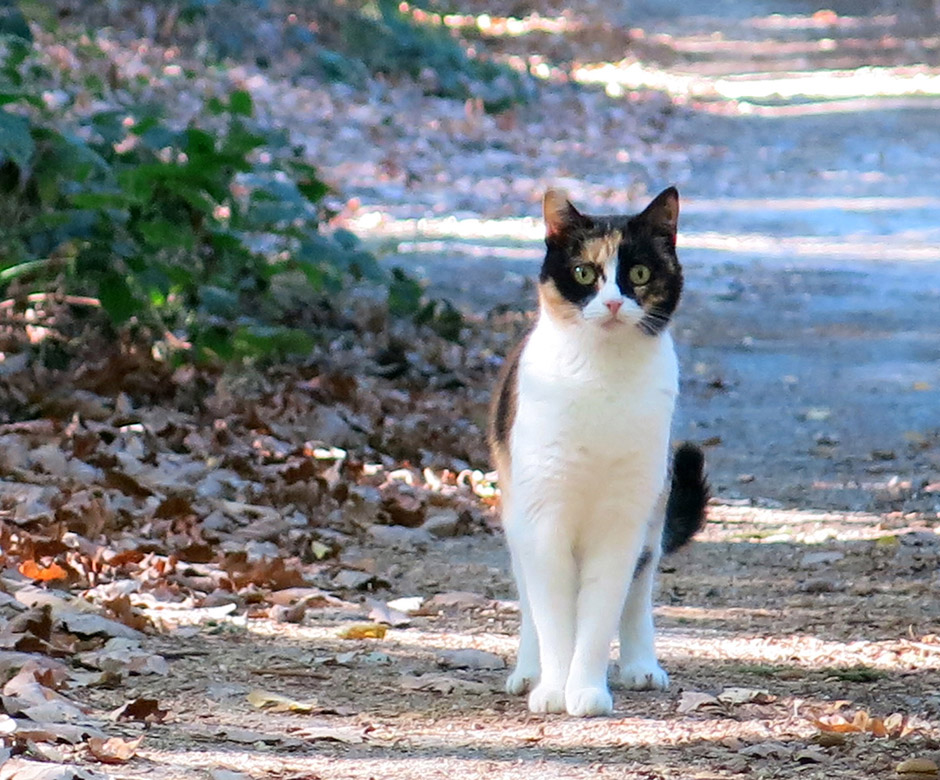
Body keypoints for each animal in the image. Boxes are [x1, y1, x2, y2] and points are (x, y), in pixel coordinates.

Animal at [492, 186, 704, 716]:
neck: (600, 379)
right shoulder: (544, 516)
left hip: (652, 512)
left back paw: (641, 666)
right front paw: (552, 689)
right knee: (530, 600)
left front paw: (586, 691)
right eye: (584, 273)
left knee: (638, 590)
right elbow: (553, 618)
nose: (611, 303)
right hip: (517, 516)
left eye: (640, 274)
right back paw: (528, 673)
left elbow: (600, 614)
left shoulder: (621, 522)